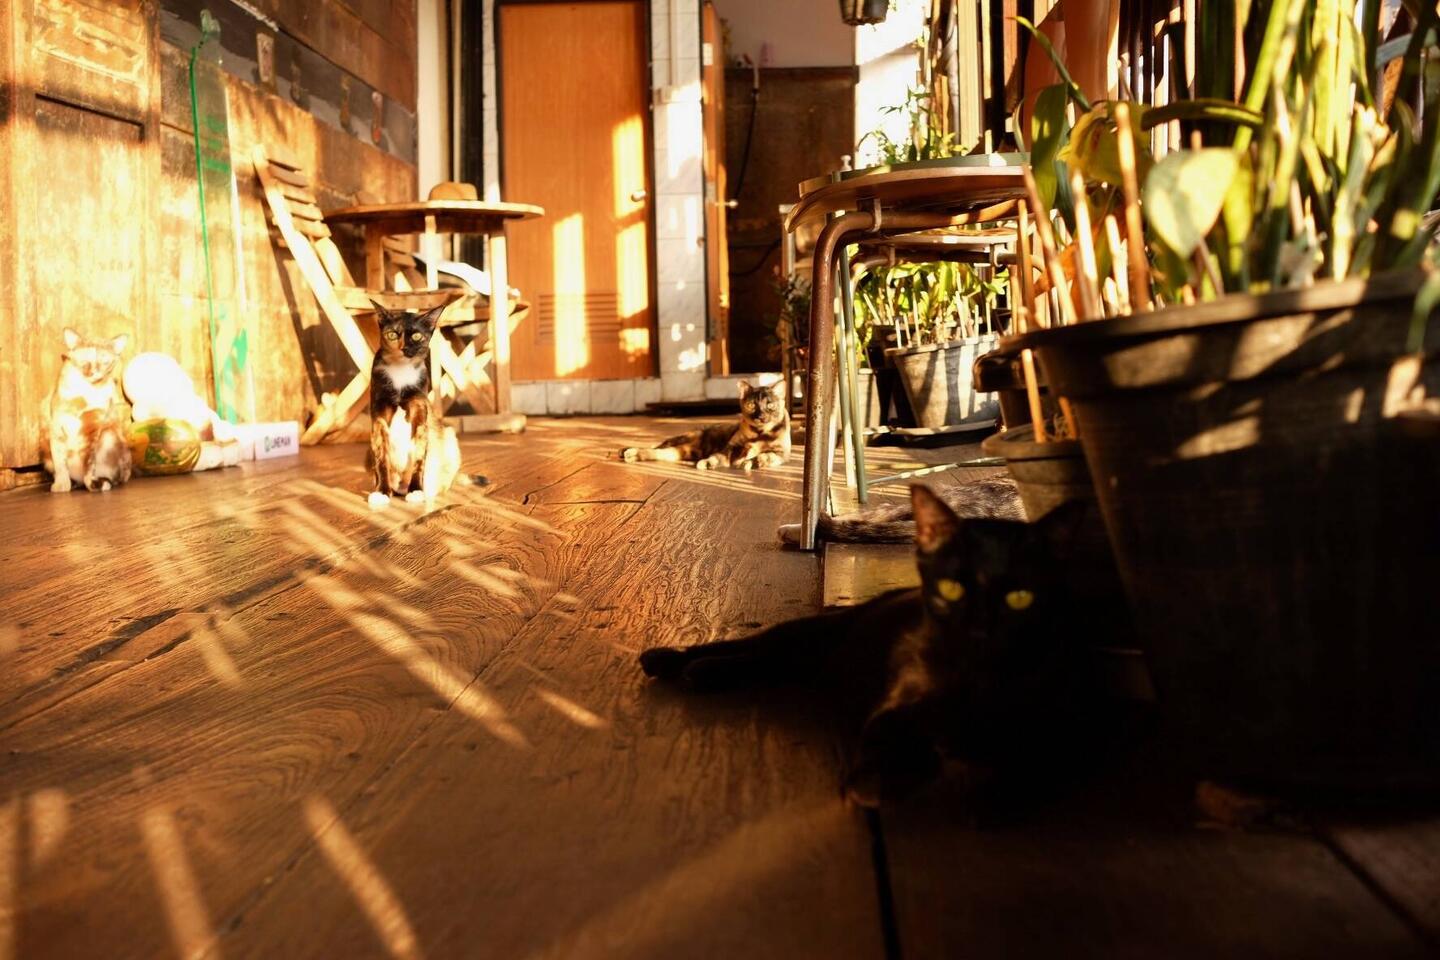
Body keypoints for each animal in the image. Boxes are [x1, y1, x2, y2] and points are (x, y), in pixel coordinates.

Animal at [42, 328, 132, 493]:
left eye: (105, 361)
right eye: (84, 359)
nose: (93, 372)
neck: (86, 392)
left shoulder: (93, 430)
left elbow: (89, 464)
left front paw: (91, 483)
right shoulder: (57, 428)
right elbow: (60, 463)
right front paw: (61, 485)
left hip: (110, 436)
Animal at [366, 302, 481, 509]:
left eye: (417, 336)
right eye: (392, 335)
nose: (404, 348)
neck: (400, 373)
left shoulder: (419, 415)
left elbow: (419, 456)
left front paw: (416, 490)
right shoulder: (379, 416)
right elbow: (381, 458)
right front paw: (381, 492)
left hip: (450, 437)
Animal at [620, 379, 790, 470]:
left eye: (770, 405)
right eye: (751, 405)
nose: (761, 416)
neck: (758, 433)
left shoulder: (780, 453)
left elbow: (764, 456)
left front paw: (748, 463)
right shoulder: (730, 448)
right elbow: (716, 456)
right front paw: (707, 463)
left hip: (683, 451)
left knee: (658, 452)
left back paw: (631, 454)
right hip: (684, 440)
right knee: (656, 447)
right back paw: (627, 451)